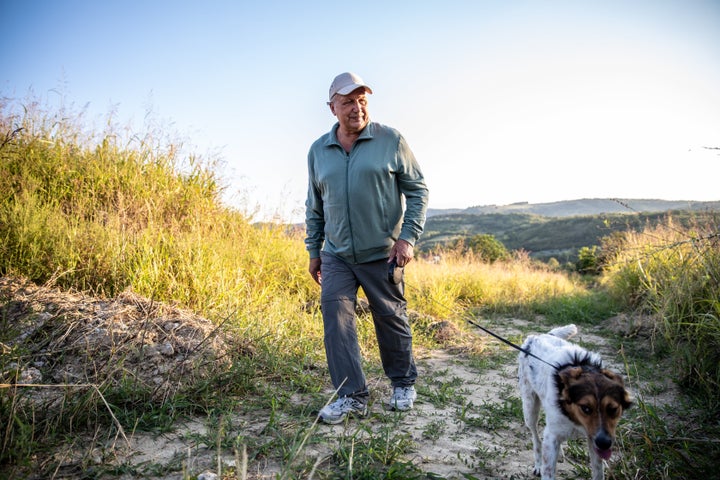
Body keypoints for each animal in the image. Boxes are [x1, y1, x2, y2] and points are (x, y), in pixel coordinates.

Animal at [516, 324, 632, 478]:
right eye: (585, 408)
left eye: (613, 409)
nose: (605, 443)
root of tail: (536, 337)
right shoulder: (553, 435)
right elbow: (548, 466)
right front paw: (543, 465)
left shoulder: (593, 439)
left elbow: (598, 472)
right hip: (529, 410)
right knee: (536, 438)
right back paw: (539, 464)